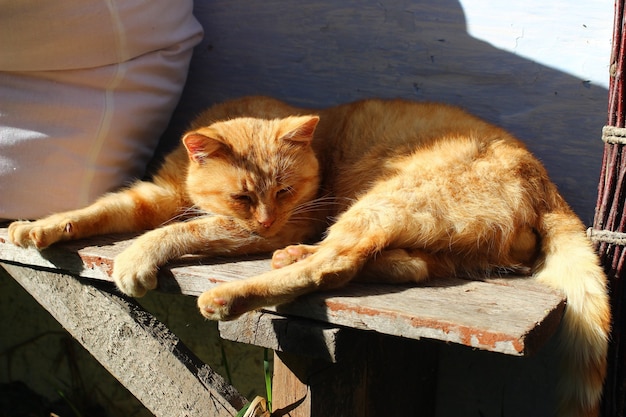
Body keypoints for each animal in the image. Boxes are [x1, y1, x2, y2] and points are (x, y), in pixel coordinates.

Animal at [7, 96, 608, 414]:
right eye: (244, 196)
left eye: (285, 191)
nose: (270, 220)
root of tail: (546, 184)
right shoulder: (155, 196)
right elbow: (97, 211)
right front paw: (35, 227)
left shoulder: (252, 228)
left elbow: (179, 233)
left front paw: (136, 260)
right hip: (428, 233)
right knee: (395, 262)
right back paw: (297, 256)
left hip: (385, 201)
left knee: (335, 263)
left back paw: (235, 293)